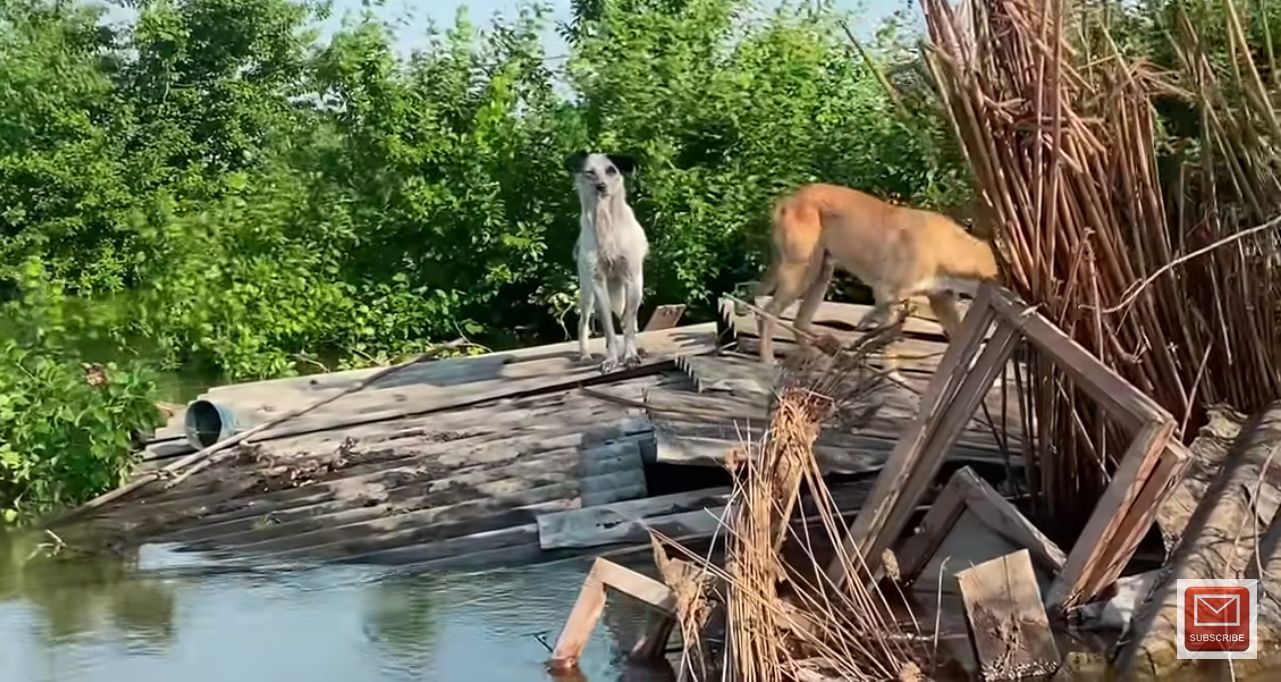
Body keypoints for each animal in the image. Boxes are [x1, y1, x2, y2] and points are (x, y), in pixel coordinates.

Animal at [568, 151, 650, 371]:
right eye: (589, 172)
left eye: (611, 170)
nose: (601, 186)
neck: (606, 222)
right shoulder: (598, 282)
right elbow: (609, 330)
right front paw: (611, 359)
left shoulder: (632, 278)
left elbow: (628, 323)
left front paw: (630, 356)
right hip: (588, 293)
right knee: (583, 324)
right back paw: (585, 355)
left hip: (633, 288)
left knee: (628, 317)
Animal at [748, 182, 999, 371]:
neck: (951, 250)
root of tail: (789, 199)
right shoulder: (888, 295)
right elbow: (889, 344)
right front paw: (893, 377)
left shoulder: (941, 300)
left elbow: (963, 341)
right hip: (802, 271)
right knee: (769, 312)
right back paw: (768, 359)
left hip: (821, 274)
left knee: (797, 321)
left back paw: (817, 359)